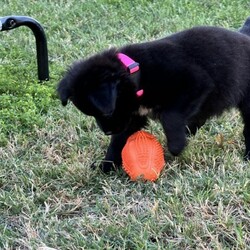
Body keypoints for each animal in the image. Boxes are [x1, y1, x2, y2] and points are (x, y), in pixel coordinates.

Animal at [59, 18, 250, 173]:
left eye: (107, 112)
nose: (107, 131)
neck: (137, 73)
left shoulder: (195, 82)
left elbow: (170, 116)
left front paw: (176, 146)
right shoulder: (131, 117)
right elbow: (117, 142)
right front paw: (106, 166)